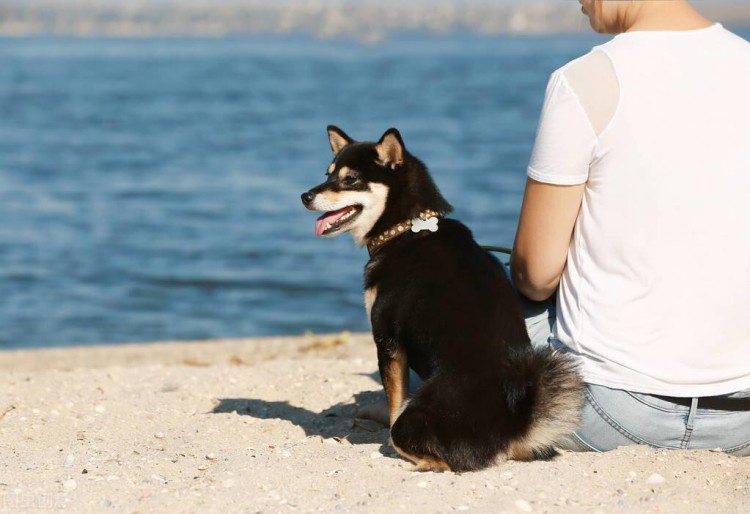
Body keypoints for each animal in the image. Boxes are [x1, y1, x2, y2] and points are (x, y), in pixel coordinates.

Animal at [302, 126, 584, 470]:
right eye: (327, 174)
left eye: (350, 179)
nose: (305, 196)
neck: (405, 229)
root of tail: (513, 426)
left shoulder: (387, 342)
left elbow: (394, 400)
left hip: (411, 422)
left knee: (431, 451)